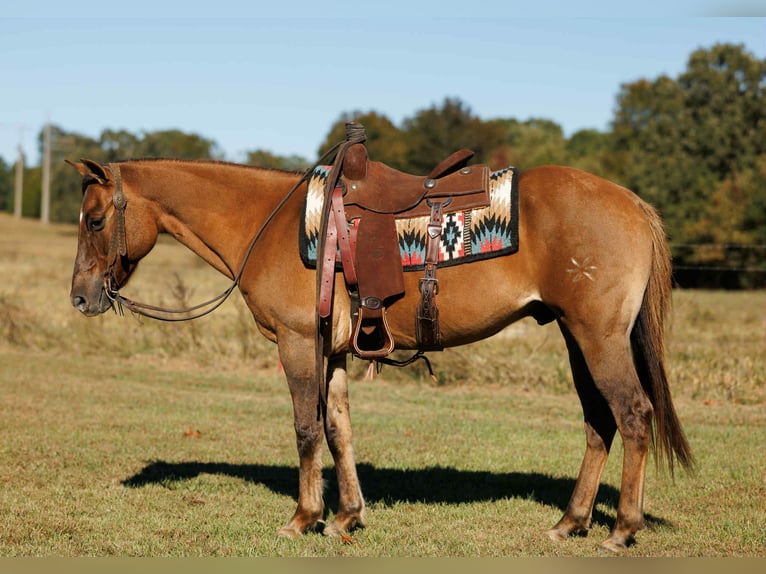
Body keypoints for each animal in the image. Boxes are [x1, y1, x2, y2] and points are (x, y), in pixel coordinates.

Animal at [67, 154, 693, 553]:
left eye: (95, 220)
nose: (80, 296)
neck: (268, 224)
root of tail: (633, 203)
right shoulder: (335, 351)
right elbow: (339, 428)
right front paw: (346, 516)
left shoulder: (299, 341)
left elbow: (306, 428)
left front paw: (303, 518)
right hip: (575, 335)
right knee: (599, 423)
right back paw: (571, 522)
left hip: (598, 336)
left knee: (633, 415)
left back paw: (622, 528)